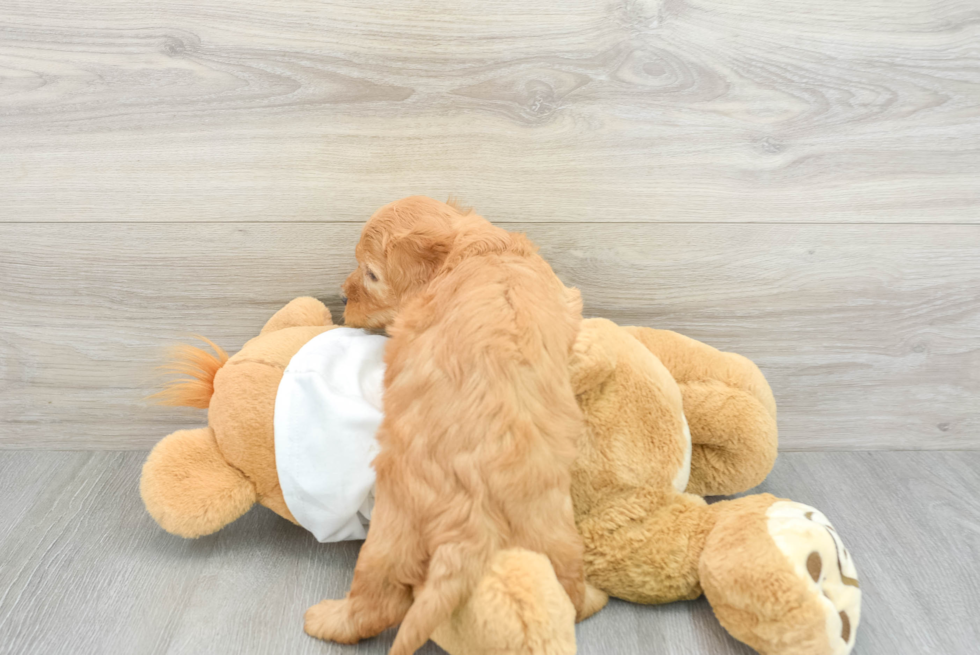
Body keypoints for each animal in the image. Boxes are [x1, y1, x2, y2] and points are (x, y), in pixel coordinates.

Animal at [306, 199, 604, 655]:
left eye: (371, 274)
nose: (340, 295)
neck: (473, 249)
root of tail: (473, 523)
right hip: (553, 532)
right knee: (568, 589)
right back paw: (590, 599)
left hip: (392, 525)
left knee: (378, 601)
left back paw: (326, 619)